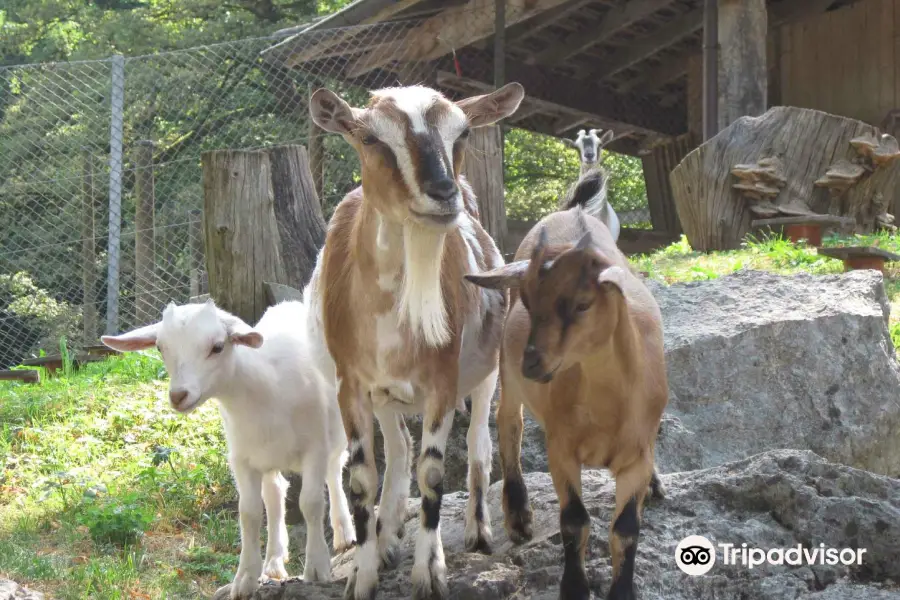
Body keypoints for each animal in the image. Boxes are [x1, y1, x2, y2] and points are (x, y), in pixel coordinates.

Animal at [306, 81, 524, 600]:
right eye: (369, 137)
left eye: (462, 133)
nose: (443, 192)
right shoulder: (352, 385)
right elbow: (363, 480)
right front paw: (363, 574)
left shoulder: (442, 381)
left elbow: (432, 472)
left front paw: (429, 572)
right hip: (386, 396)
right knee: (400, 447)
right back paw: (386, 539)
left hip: (487, 372)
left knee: (480, 443)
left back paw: (478, 531)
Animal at [468, 178, 664, 600]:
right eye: (527, 300)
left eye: (583, 304)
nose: (532, 363)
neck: (607, 409)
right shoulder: (561, 448)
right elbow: (574, 520)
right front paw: (574, 587)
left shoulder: (637, 456)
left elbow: (626, 528)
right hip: (507, 376)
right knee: (508, 423)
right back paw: (518, 515)